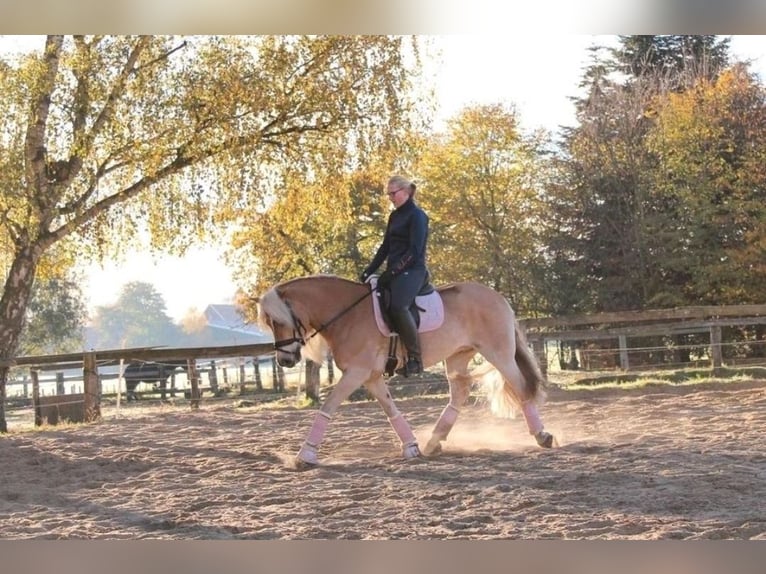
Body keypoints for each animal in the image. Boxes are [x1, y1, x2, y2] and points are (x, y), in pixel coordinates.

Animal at [258, 274, 560, 468]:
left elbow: (328, 406)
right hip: (458, 357)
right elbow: (390, 409)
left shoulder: (356, 373)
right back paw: (434, 442)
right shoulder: (370, 377)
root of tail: (499, 298)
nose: (284, 361)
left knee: (520, 387)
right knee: (460, 394)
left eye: (278, 320)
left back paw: (543, 436)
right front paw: (411, 447)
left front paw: (305, 455)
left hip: (498, 354)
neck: (348, 315)